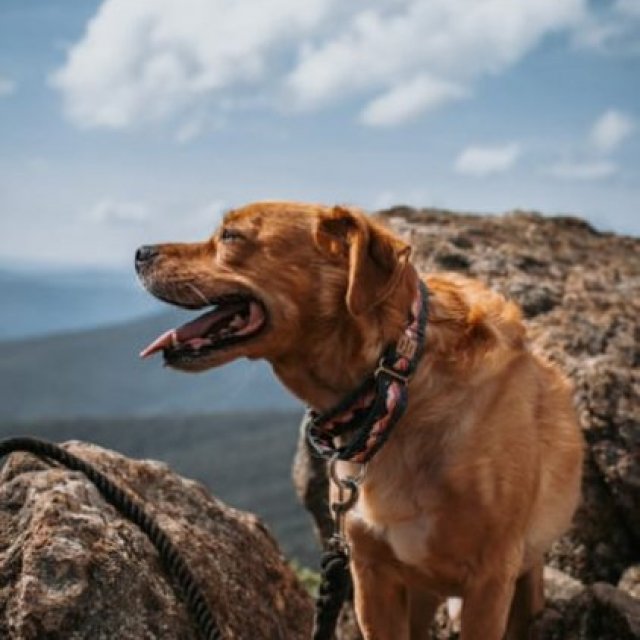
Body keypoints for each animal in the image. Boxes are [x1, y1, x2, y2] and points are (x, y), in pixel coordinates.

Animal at [136, 201, 584, 640]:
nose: (141, 252)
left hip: (524, 588)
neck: (396, 384)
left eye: (230, 236)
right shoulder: (372, 574)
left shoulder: (489, 580)